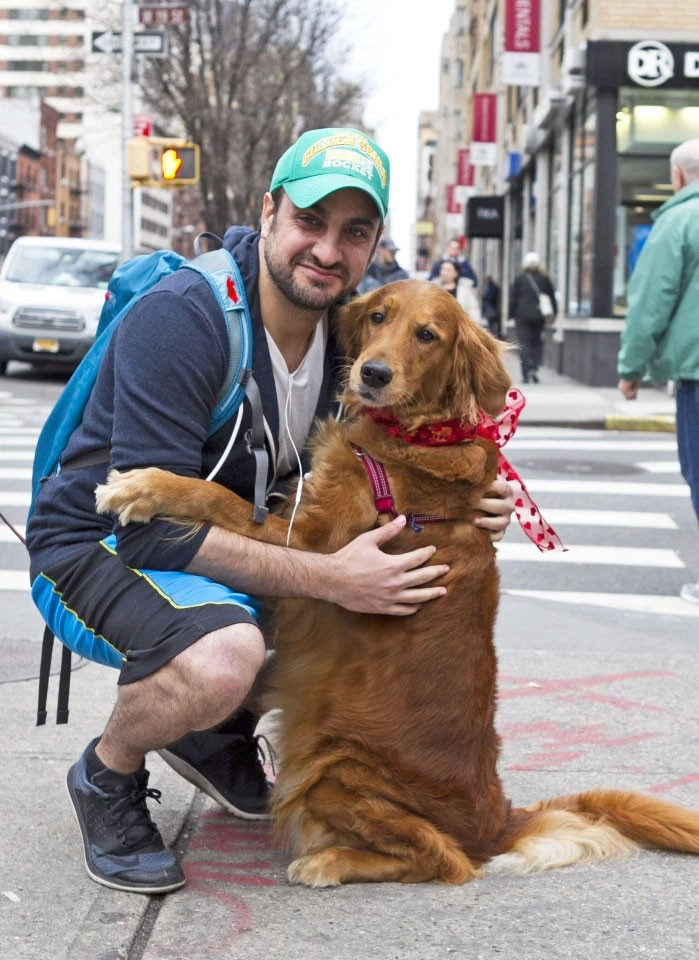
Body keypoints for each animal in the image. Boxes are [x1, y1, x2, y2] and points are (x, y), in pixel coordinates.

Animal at [97, 278, 699, 884]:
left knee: (443, 859)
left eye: (427, 335)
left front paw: (144, 487)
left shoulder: (311, 541)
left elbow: (218, 496)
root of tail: (498, 822)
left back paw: (328, 862)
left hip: (333, 766)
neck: (425, 433)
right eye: (379, 316)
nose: (374, 373)